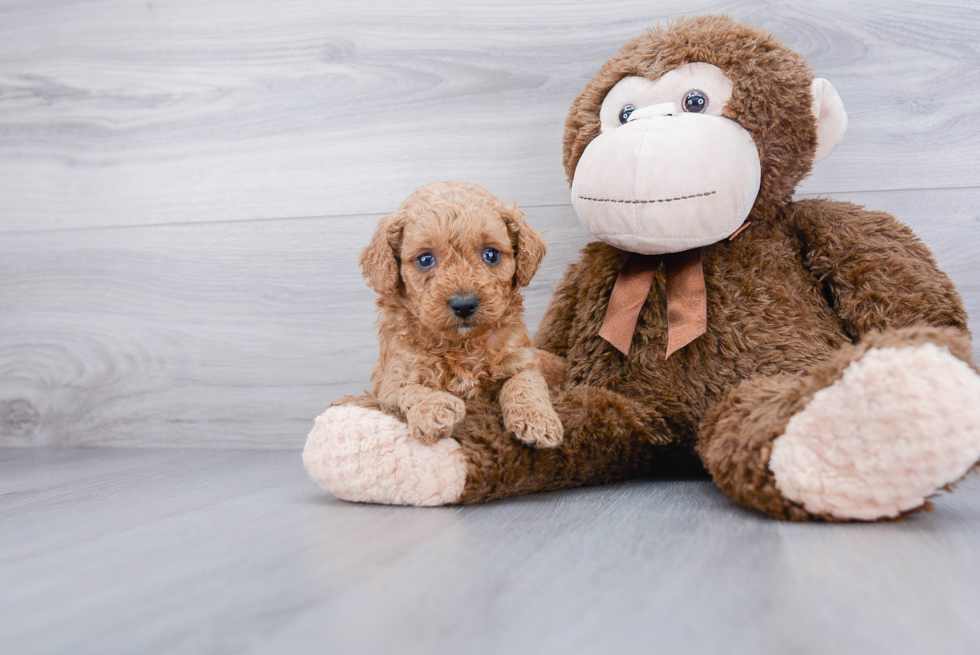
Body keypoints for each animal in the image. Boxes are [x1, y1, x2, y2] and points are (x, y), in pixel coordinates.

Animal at [360, 184, 564, 452]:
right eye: (425, 259)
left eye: (491, 254)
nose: (464, 304)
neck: (461, 344)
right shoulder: (392, 381)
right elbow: (412, 391)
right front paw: (437, 410)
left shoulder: (520, 361)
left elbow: (524, 385)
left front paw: (538, 421)